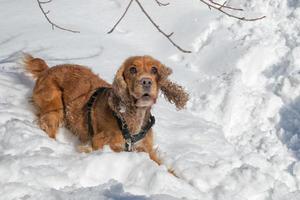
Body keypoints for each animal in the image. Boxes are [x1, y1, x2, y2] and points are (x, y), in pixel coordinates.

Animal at [23, 54, 189, 166]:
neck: (132, 117)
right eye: (132, 69)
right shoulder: (100, 142)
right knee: (47, 126)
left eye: (154, 69)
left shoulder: (146, 148)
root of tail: (47, 70)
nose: (146, 81)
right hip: (54, 107)